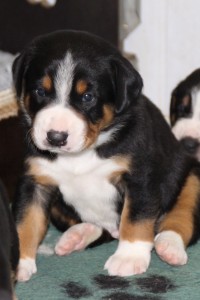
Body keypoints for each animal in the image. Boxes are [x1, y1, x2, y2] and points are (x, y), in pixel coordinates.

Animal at [11, 30, 200, 282]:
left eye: (88, 97)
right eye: (40, 91)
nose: (56, 137)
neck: (84, 152)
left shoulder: (140, 176)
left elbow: (135, 218)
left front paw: (129, 257)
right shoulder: (35, 181)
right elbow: (26, 221)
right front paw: (17, 264)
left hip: (192, 176)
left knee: (180, 219)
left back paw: (169, 247)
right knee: (99, 229)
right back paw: (78, 235)